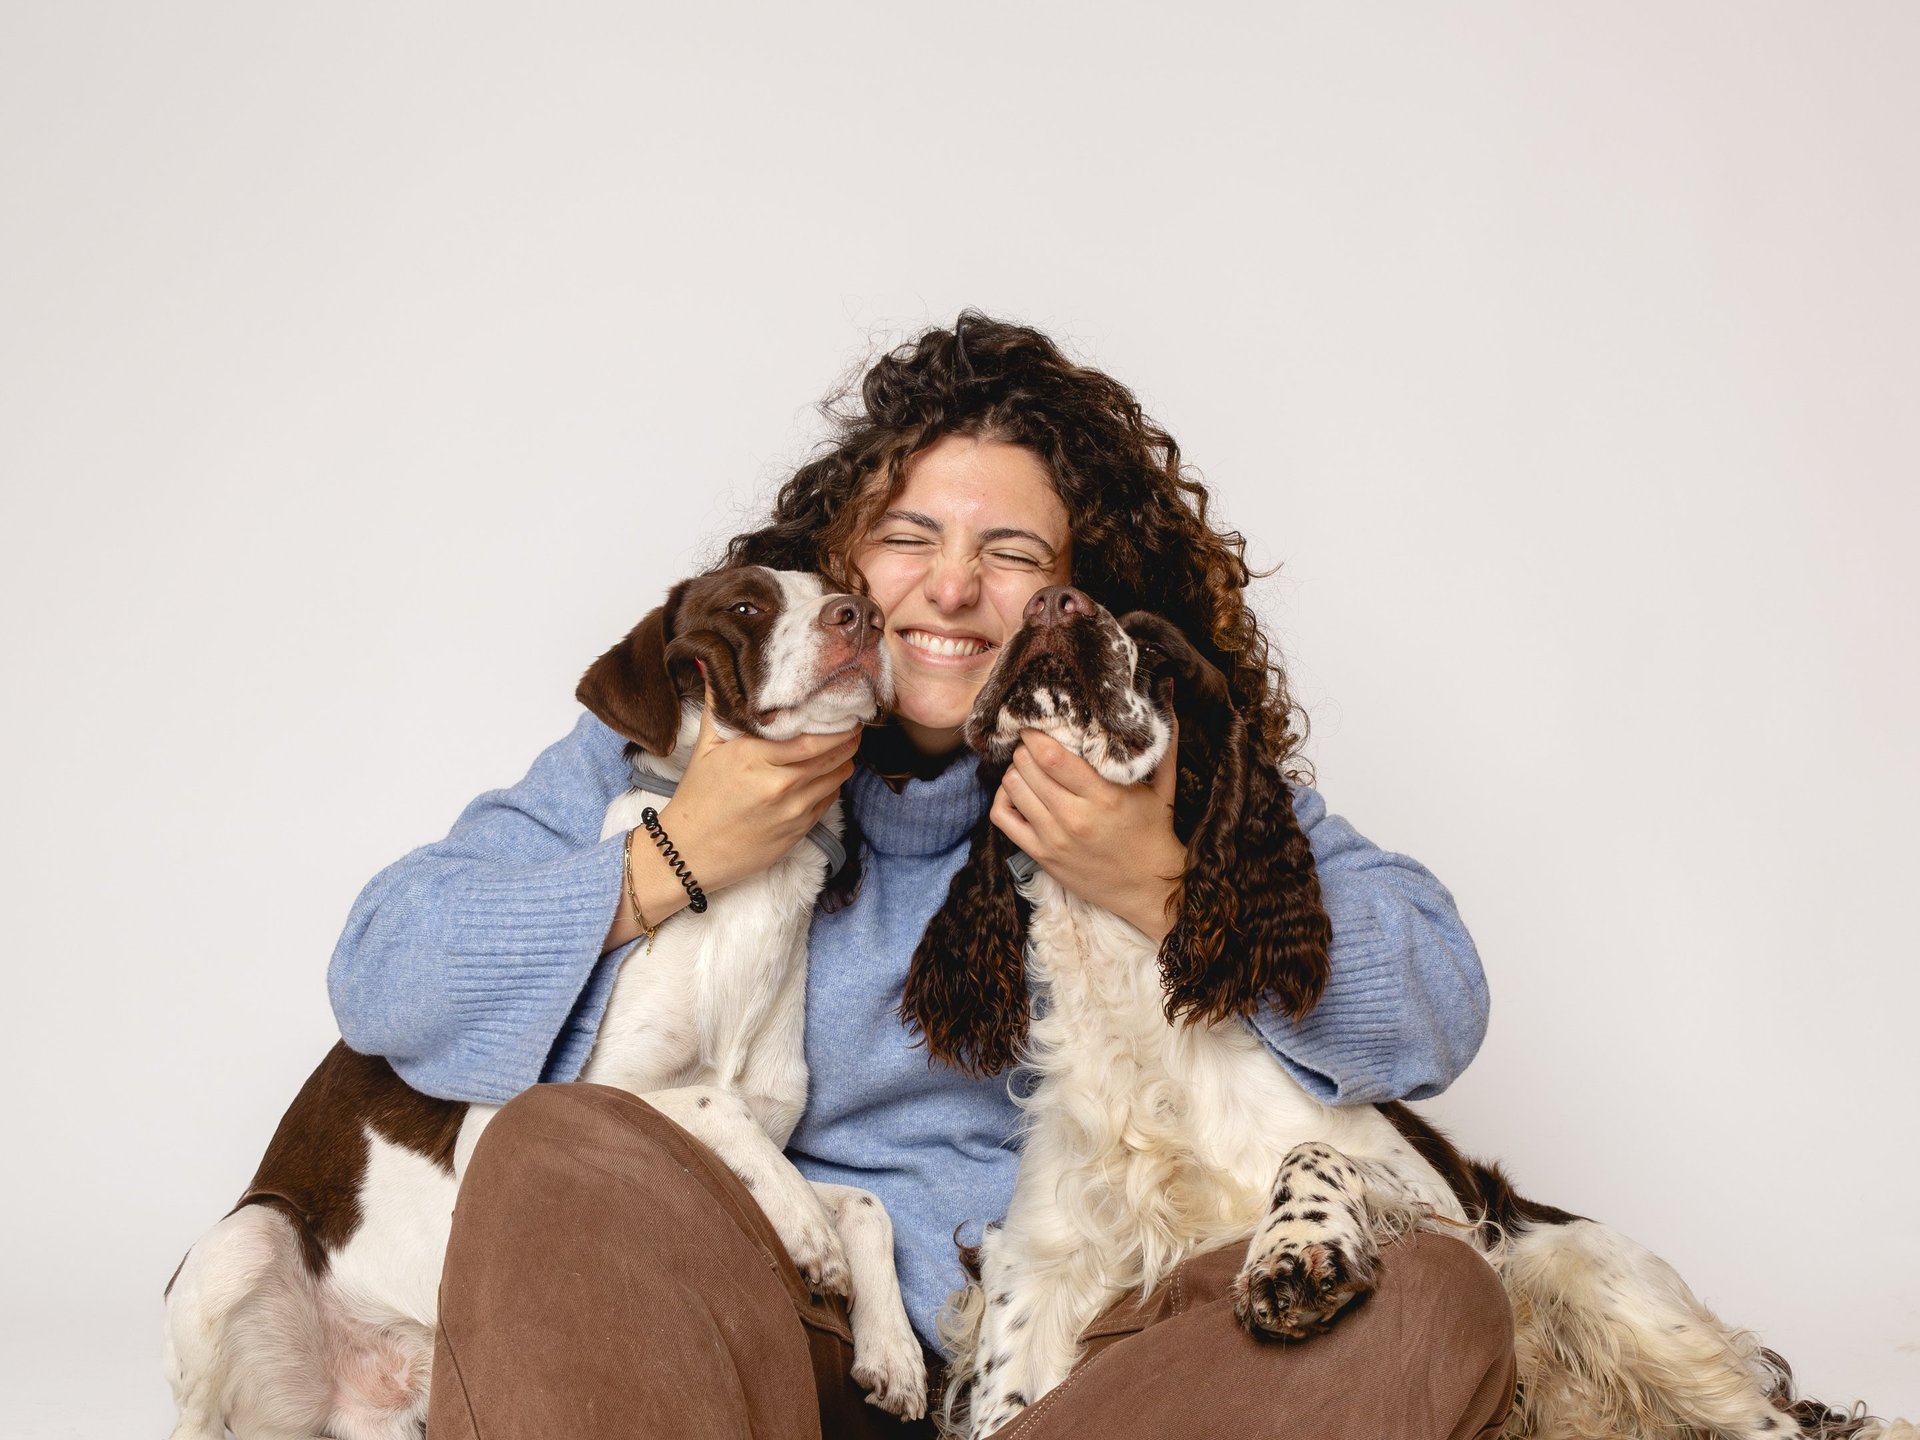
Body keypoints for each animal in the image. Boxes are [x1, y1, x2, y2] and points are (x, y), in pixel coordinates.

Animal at [163, 565, 928, 1440]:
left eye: (846, 587)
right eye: (745, 605)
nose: (862, 617)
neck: (747, 906)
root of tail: (351, 1401)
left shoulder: (771, 1149)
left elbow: (865, 1201)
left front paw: (893, 1348)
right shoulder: (531, 1114)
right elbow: (711, 1100)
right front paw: (806, 1229)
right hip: (245, 1243)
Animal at [908, 585, 1912, 1440]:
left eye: (1153, 650)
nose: (1050, 603)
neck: (1130, 993)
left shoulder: (1430, 1198)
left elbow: (1313, 1157)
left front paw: (1293, 1256)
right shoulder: (1039, 1263)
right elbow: (1011, 1385)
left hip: (1595, 1279)